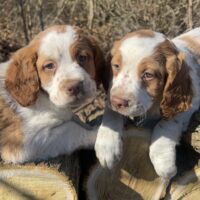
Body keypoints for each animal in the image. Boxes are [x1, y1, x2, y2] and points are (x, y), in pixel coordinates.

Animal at [0, 24, 107, 163]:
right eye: (49, 66)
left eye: (82, 57)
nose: (75, 87)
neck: (44, 98)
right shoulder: (24, 142)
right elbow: (71, 128)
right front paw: (100, 136)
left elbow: (74, 120)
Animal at [95, 27, 200, 178]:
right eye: (116, 66)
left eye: (148, 75)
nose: (117, 102)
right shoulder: (112, 95)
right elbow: (111, 112)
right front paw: (107, 146)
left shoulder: (191, 101)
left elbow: (166, 124)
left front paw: (164, 162)